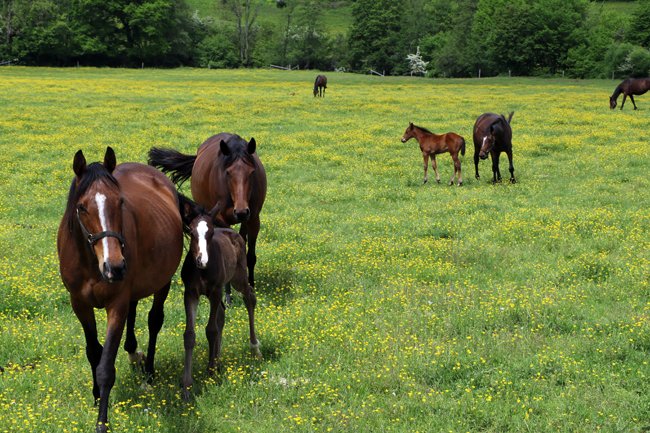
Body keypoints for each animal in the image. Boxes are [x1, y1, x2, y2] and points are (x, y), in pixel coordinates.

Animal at [57, 147, 183, 433]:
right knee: (134, 313)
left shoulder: (116, 304)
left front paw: (102, 422)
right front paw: (95, 398)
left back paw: (148, 372)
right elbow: (93, 352)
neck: (91, 263)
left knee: (154, 321)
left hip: (162, 282)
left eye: (120, 202)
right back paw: (134, 353)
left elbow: (106, 367)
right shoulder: (79, 304)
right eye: (82, 207)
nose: (114, 266)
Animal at [148, 133, 267, 295]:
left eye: (252, 172)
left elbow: (250, 256)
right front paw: (228, 294)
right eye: (228, 172)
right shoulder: (221, 220)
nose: (241, 211)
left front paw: (251, 286)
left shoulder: (253, 219)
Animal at [178, 194, 262, 400]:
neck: (202, 272)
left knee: (250, 298)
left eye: (210, 233)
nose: (202, 260)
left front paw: (211, 370)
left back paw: (255, 348)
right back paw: (218, 358)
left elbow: (211, 330)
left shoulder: (215, 291)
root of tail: (234, 233)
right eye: (191, 232)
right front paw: (186, 387)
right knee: (222, 313)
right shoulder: (190, 293)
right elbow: (190, 335)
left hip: (238, 277)